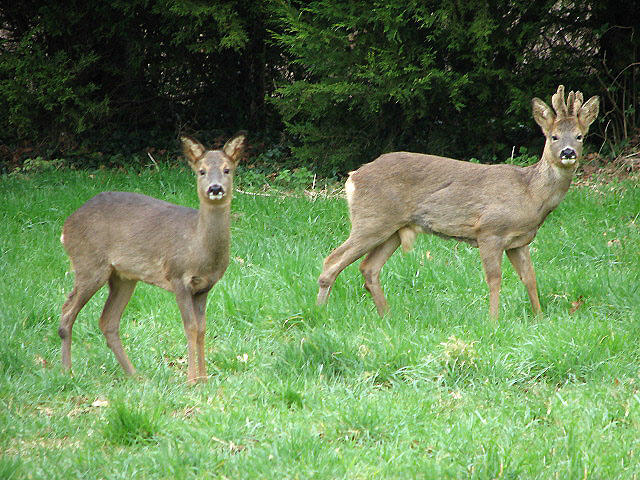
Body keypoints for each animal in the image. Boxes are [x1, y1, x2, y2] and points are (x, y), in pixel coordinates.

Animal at [59, 133, 245, 384]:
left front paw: (204, 379)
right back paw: (67, 372)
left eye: (227, 169)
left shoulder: (205, 287)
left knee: (108, 320)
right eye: (201, 171)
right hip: (89, 264)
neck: (198, 248)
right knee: (67, 311)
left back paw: (134, 374)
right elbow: (190, 327)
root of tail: (66, 226)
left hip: (123, 277)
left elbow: (202, 328)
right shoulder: (177, 276)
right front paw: (191, 380)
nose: (215, 188)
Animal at [318, 86, 600, 318]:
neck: (530, 192)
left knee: (368, 268)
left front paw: (539, 317)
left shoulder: (519, 241)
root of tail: (353, 177)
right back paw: (320, 314)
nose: (567, 153)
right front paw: (493, 321)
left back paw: (386, 316)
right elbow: (494, 279)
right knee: (332, 261)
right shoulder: (489, 230)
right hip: (371, 220)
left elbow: (529, 277)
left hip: (393, 230)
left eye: (580, 136)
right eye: (554, 136)